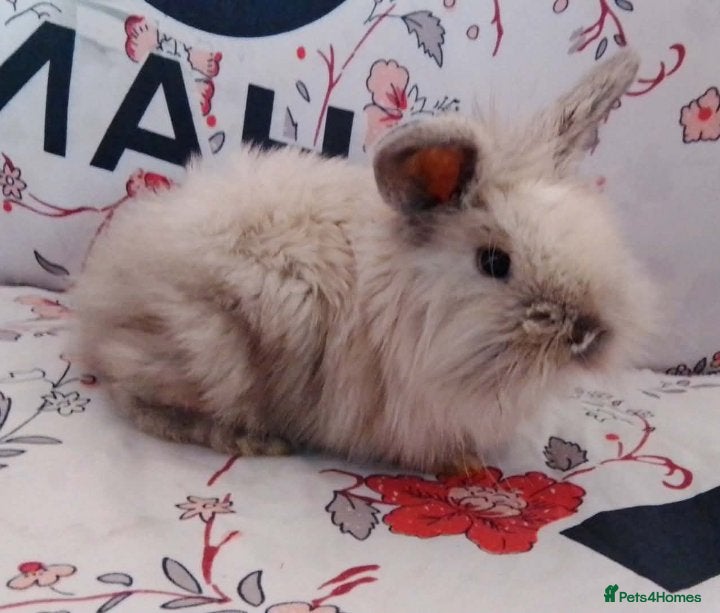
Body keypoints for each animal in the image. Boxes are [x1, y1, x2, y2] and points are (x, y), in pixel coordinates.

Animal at [71, 49, 658, 473]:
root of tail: (97, 302)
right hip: (207, 349)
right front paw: (467, 467)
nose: (587, 334)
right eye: (494, 262)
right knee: (135, 399)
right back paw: (252, 439)